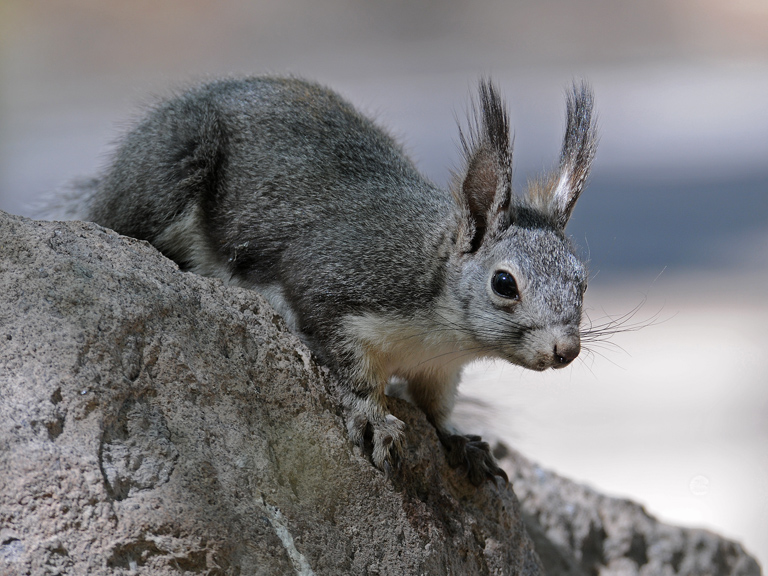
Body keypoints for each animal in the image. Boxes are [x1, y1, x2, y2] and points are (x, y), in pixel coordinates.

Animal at [68, 76, 597, 486]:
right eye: (504, 283)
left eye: (583, 281)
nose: (565, 350)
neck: (442, 329)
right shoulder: (335, 285)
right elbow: (349, 365)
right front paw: (372, 417)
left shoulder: (440, 370)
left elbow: (436, 408)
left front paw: (458, 440)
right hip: (170, 170)